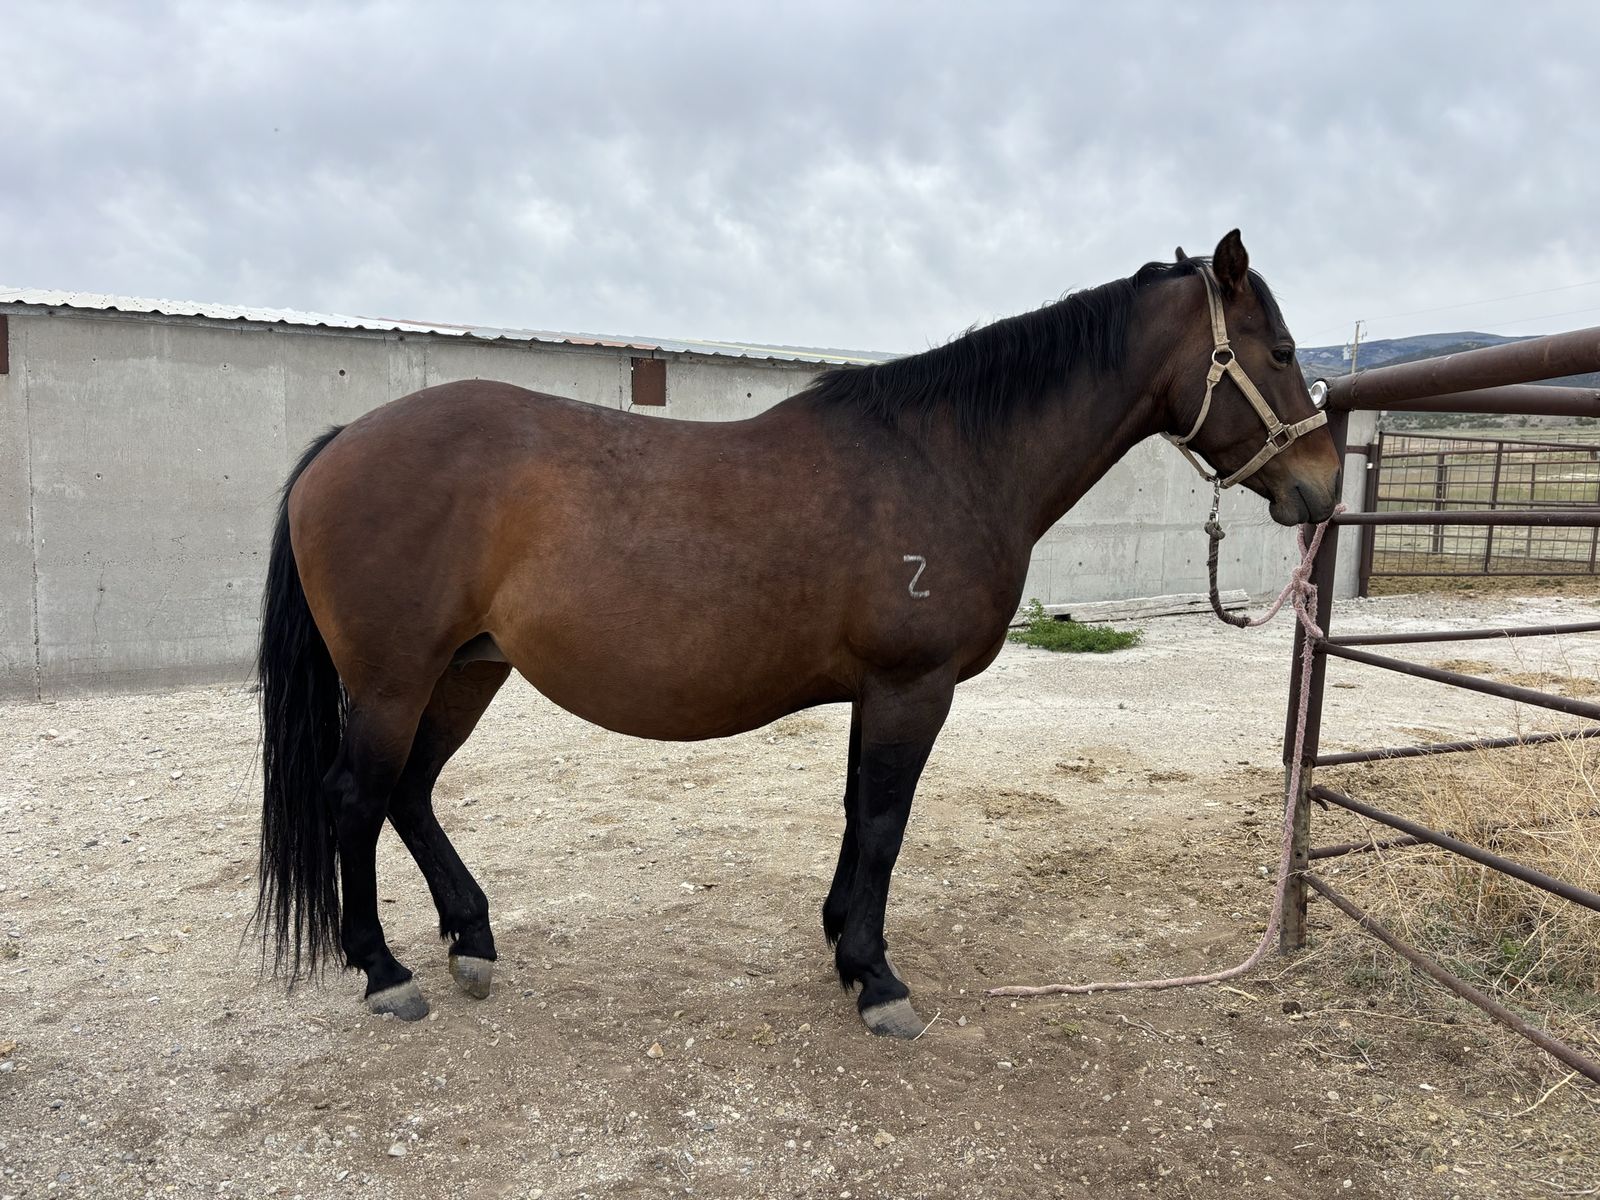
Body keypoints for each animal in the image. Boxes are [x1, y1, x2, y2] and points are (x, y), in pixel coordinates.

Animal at [254, 230, 1341, 1038]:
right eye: (1283, 354)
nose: (1323, 486)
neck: (945, 459)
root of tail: (339, 445)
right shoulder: (912, 686)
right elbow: (885, 820)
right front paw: (877, 979)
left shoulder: (880, 690)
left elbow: (860, 812)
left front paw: (841, 943)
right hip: (395, 680)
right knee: (357, 799)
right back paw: (386, 971)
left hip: (464, 671)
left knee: (410, 792)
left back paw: (471, 941)